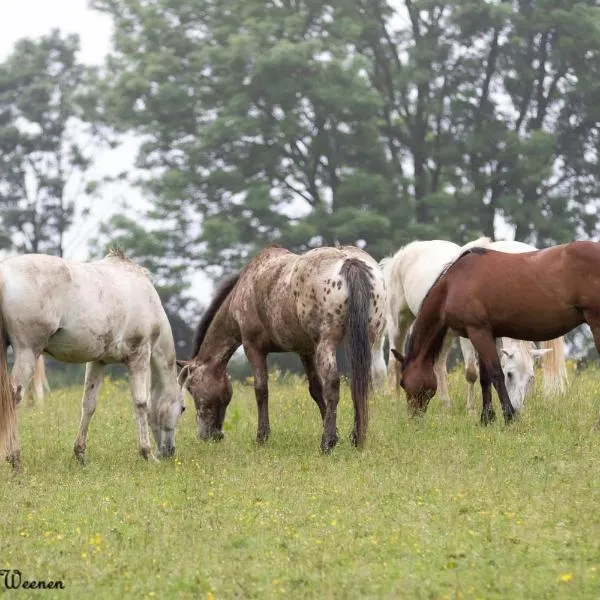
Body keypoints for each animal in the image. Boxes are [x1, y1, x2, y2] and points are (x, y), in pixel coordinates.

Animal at [0, 251, 185, 472]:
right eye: (183, 408)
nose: (169, 452)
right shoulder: (139, 355)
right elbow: (141, 403)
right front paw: (147, 454)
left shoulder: (98, 361)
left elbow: (89, 404)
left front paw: (80, 454)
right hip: (27, 352)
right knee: (13, 399)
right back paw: (15, 460)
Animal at [176, 244, 386, 450]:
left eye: (191, 388)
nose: (207, 436)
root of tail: (350, 262)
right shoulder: (306, 350)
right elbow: (315, 389)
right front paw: (336, 432)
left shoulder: (253, 348)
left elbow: (261, 390)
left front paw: (262, 437)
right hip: (367, 342)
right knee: (360, 384)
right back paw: (357, 438)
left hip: (327, 343)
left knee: (333, 384)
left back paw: (327, 443)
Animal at [394, 240, 600, 426]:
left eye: (403, 382)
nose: (413, 418)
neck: (454, 282)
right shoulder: (487, 334)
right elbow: (485, 377)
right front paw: (486, 418)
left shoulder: (477, 331)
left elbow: (495, 373)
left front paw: (509, 417)